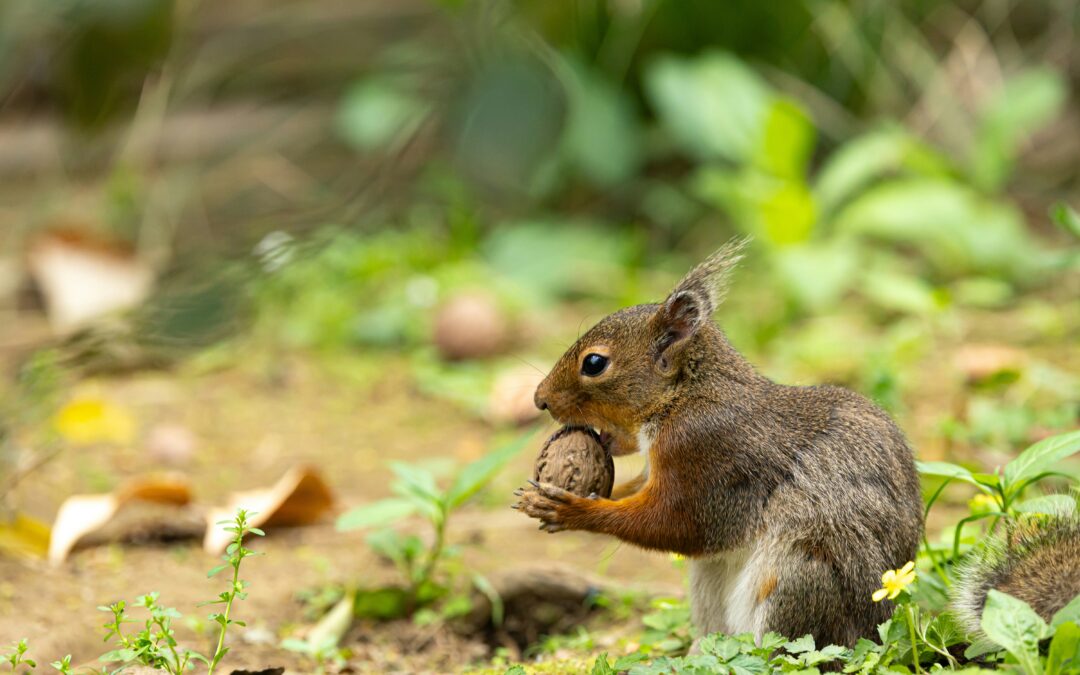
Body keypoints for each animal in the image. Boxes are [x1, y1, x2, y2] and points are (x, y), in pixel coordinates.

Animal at [514, 239, 925, 647]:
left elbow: (675, 525)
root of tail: (877, 631)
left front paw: (572, 510)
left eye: (595, 363)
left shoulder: (706, 455)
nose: (539, 399)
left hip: (800, 578)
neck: (685, 395)